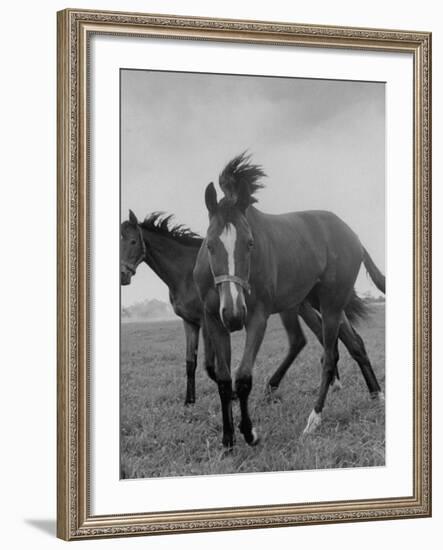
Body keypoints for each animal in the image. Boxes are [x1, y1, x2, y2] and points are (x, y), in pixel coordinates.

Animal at [119, 209, 376, 408]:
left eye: (133, 241)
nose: (123, 275)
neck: (184, 272)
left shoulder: (208, 321)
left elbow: (210, 365)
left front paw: (232, 394)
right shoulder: (190, 322)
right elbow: (190, 363)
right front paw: (189, 402)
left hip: (307, 306)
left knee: (315, 340)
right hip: (313, 305)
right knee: (338, 339)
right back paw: (356, 388)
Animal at [194, 153, 386, 450]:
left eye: (250, 243)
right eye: (211, 244)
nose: (235, 315)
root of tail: (353, 236)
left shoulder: (258, 317)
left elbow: (243, 377)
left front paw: (250, 433)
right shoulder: (214, 319)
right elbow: (225, 380)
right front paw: (227, 439)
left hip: (331, 305)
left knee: (329, 356)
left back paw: (314, 419)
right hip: (320, 303)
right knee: (355, 343)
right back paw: (377, 395)